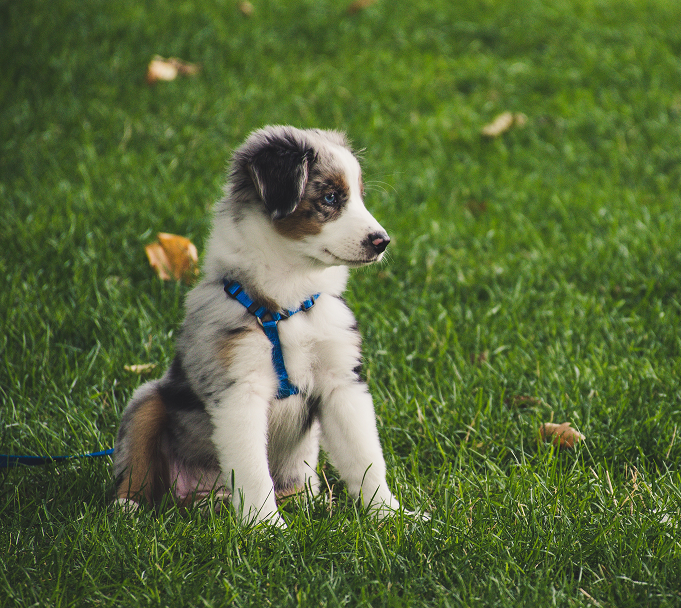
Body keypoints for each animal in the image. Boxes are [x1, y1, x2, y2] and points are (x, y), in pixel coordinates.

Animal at [114, 126, 402, 526]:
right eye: (330, 197)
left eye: (360, 197)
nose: (382, 242)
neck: (289, 301)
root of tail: (198, 495)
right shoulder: (239, 389)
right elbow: (252, 469)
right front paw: (266, 527)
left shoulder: (341, 381)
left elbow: (365, 457)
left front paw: (393, 517)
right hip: (147, 400)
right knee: (136, 460)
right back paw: (128, 507)